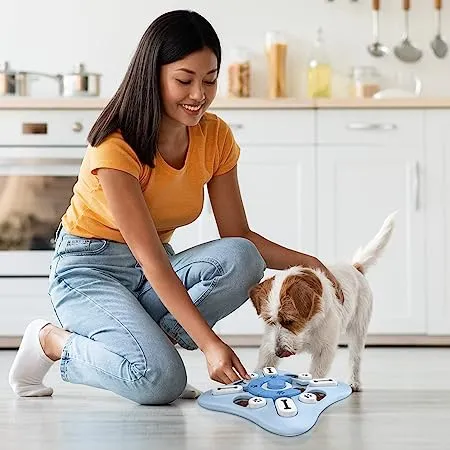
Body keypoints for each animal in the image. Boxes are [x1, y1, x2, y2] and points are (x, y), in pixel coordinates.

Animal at [248, 211, 396, 390]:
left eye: (289, 321)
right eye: (269, 321)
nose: (278, 352)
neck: (309, 326)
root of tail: (355, 267)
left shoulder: (324, 351)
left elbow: (316, 374)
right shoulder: (269, 344)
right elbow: (264, 363)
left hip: (358, 330)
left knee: (355, 357)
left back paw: (354, 381)